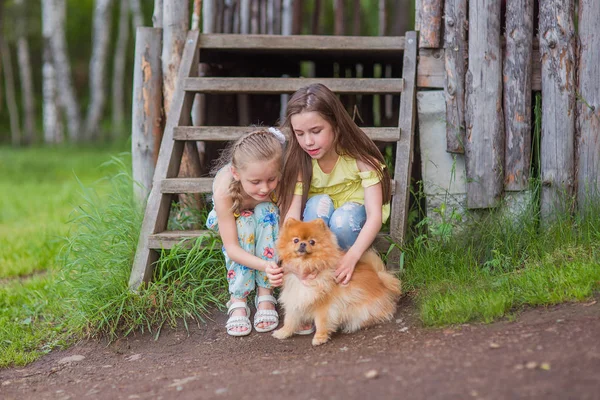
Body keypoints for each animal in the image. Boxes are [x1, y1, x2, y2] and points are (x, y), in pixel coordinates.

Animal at [274, 217, 404, 346]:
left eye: (312, 242)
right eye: (295, 240)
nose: (302, 243)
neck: (307, 264)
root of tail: (379, 277)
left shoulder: (324, 305)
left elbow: (321, 322)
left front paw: (319, 338)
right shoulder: (295, 295)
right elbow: (290, 319)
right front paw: (283, 332)